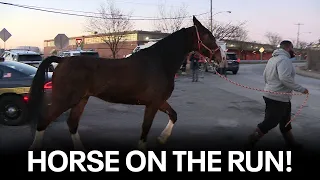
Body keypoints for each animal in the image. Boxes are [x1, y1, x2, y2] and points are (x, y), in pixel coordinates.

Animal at [27, 15, 221, 152]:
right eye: (207, 36)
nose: (220, 58)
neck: (159, 62)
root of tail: (62, 60)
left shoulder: (159, 101)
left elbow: (173, 115)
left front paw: (162, 138)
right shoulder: (152, 104)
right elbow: (145, 130)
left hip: (81, 100)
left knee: (72, 124)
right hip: (65, 100)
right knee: (44, 121)